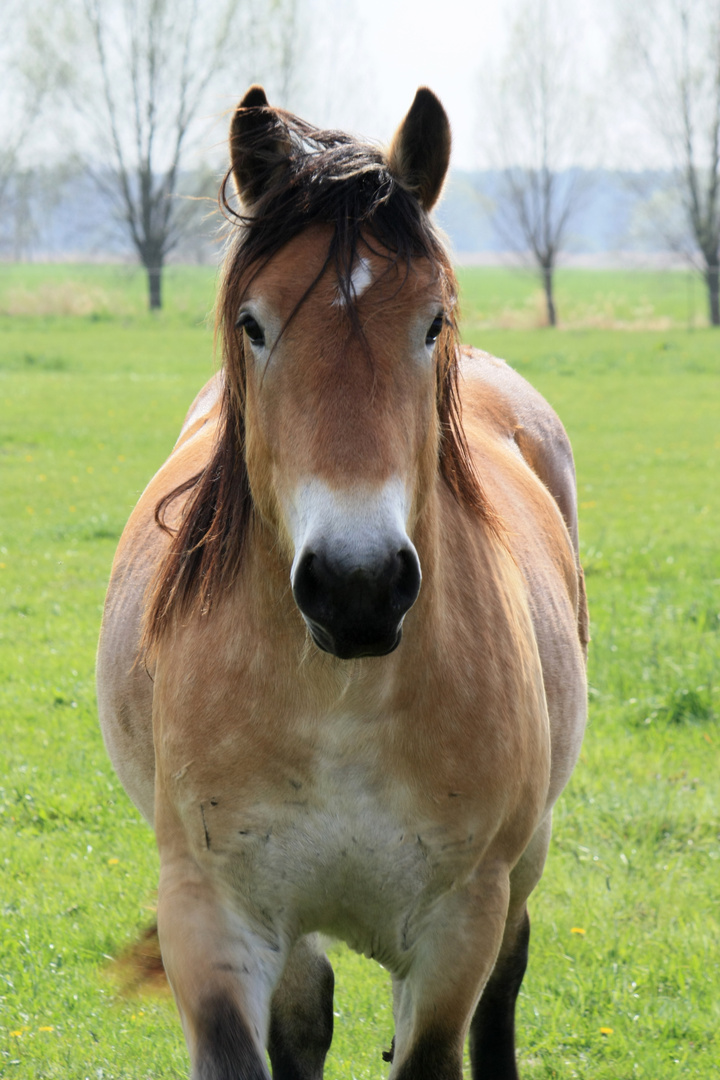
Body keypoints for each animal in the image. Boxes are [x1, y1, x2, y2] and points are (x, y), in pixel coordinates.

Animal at [95, 86, 587, 1080]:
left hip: (523, 863)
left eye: (433, 321)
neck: (341, 702)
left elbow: (445, 1035)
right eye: (254, 323)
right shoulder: (212, 917)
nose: (356, 587)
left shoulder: (456, 929)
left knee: (505, 990)